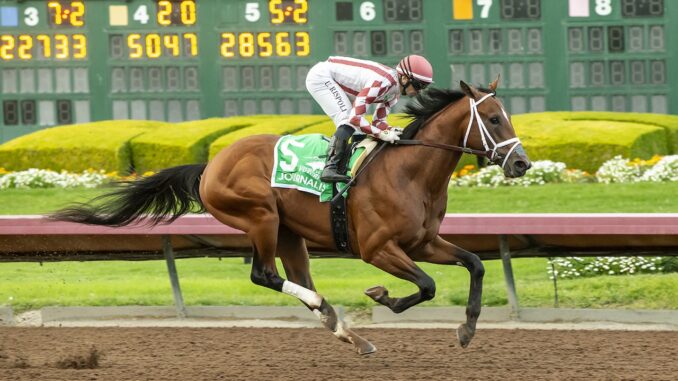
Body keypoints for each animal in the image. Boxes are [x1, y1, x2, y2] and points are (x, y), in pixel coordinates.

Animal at [53, 79, 532, 354]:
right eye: (493, 118)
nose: (521, 163)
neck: (410, 172)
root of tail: (211, 164)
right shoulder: (378, 249)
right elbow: (428, 285)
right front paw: (382, 295)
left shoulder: (424, 242)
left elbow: (475, 264)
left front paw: (467, 329)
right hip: (260, 217)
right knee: (264, 275)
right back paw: (332, 314)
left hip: (289, 233)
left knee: (297, 279)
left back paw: (349, 333)